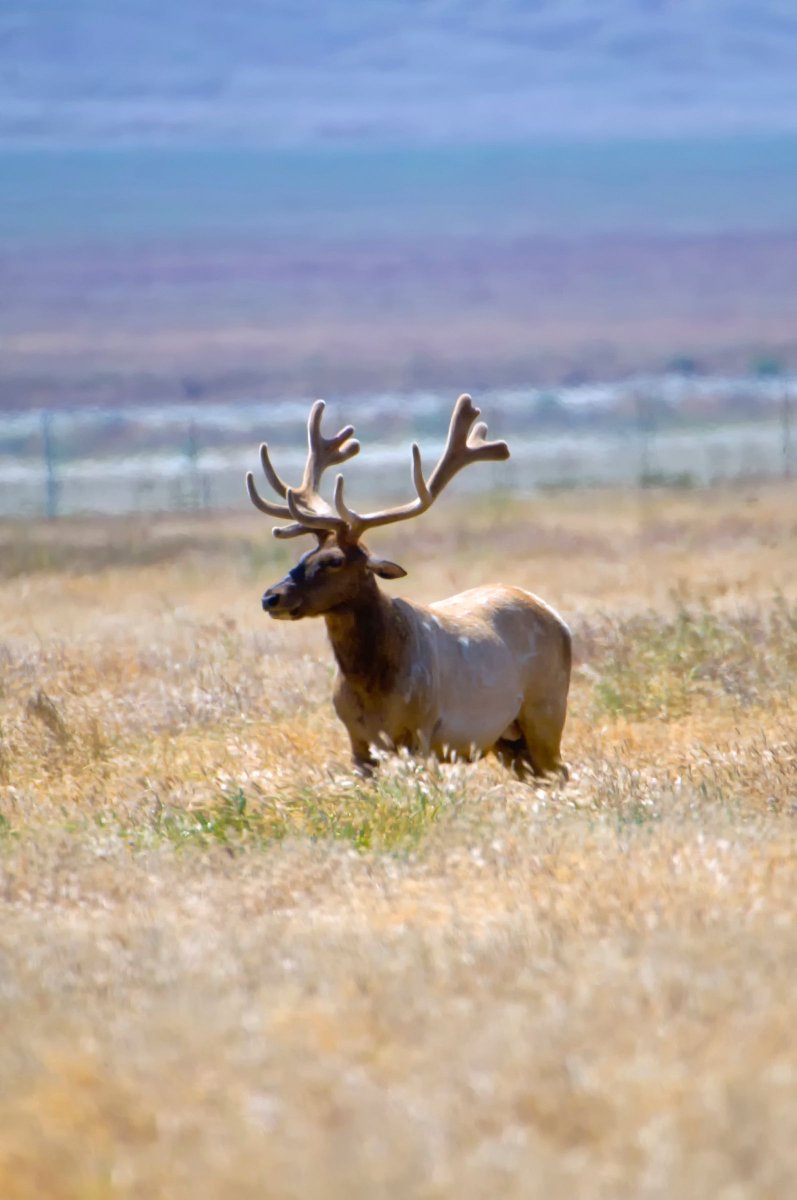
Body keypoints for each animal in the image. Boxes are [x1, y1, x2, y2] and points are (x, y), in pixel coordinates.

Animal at [246, 394, 571, 780]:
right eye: (306, 554)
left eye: (335, 560)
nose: (271, 597)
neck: (373, 688)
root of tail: (558, 619)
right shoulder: (357, 741)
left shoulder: (422, 733)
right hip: (507, 739)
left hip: (546, 709)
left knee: (562, 771)